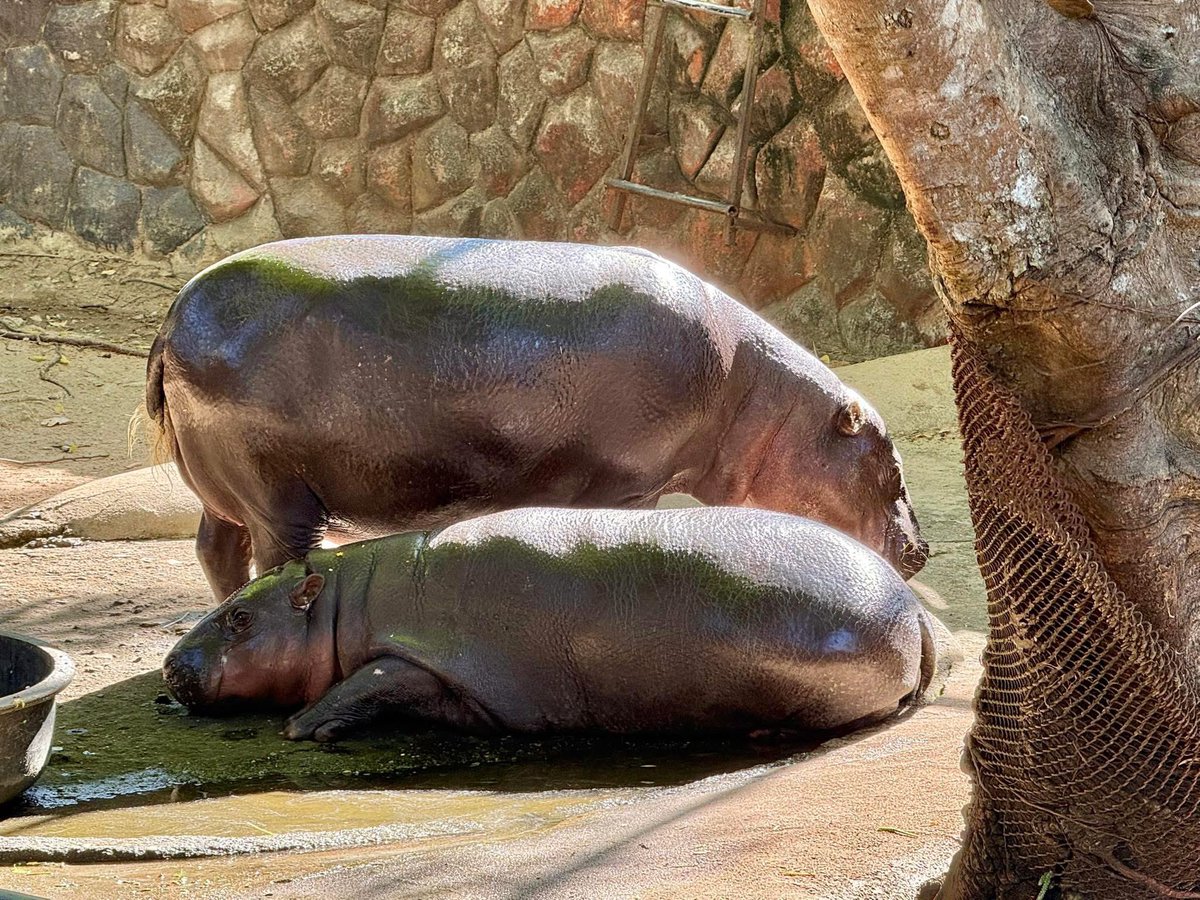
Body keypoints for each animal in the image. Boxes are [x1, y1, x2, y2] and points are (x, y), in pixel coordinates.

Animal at [147, 236, 927, 601]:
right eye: (888, 461)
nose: (922, 550)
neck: (756, 396)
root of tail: (171, 318)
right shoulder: (621, 485)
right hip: (279, 495)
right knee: (276, 559)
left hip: (226, 492)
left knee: (215, 549)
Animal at [163, 507, 936, 741]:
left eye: (238, 617)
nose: (170, 666)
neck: (342, 601)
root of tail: (913, 608)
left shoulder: (420, 660)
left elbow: (367, 680)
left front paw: (303, 727)